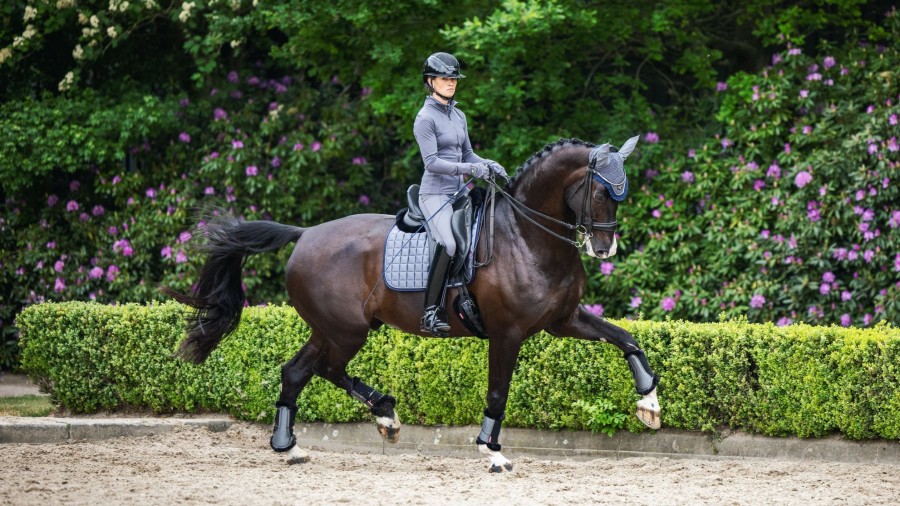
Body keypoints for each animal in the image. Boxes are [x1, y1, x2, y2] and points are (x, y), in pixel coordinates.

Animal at [163, 136, 660, 472]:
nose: (604, 249)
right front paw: (491, 451)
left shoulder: (563, 320)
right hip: (347, 330)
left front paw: (650, 402)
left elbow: (626, 338)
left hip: (331, 329)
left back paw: (298, 444)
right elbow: (497, 391)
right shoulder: (507, 333)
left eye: (622, 193)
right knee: (323, 369)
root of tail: (304, 235)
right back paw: (381, 413)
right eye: (600, 191)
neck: (528, 236)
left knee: (298, 371)